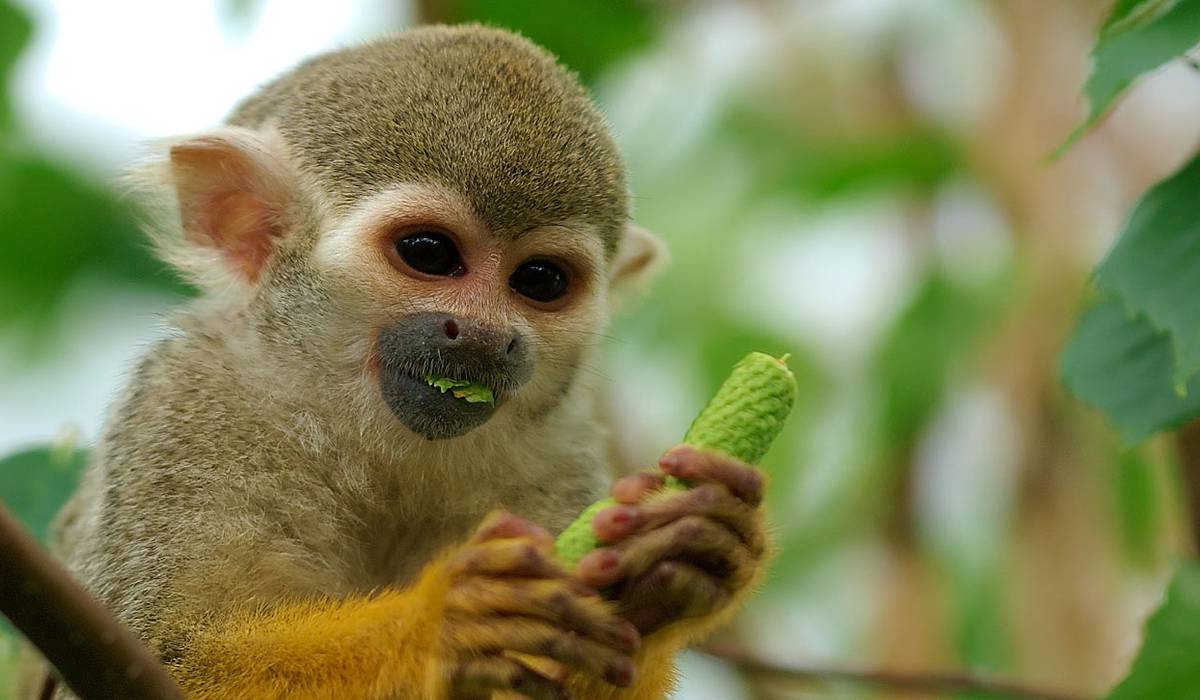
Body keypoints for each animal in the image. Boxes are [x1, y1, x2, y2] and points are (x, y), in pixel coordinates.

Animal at [30, 25, 770, 700]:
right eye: (429, 253)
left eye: (540, 281)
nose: (485, 337)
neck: (366, 432)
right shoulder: (187, 406)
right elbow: (175, 653)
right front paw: (443, 623)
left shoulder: (557, 455)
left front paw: (671, 567)